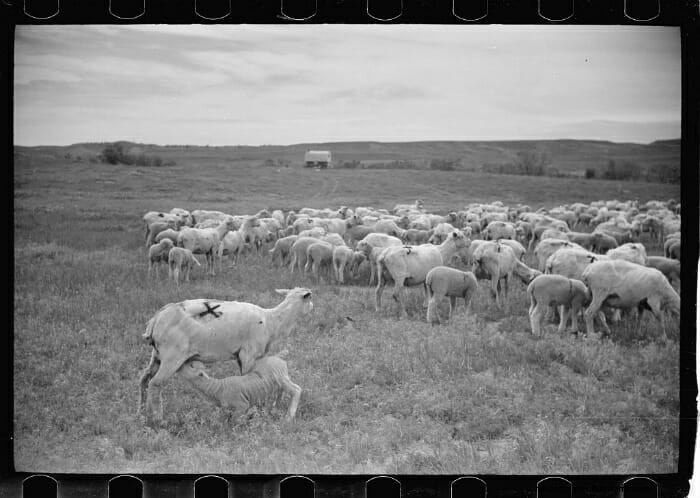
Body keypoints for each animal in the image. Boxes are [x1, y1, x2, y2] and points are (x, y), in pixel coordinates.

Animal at [139, 288, 314, 423]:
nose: (313, 305)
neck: (273, 321)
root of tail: (156, 319)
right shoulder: (249, 354)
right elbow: (249, 379)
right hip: (172, 355)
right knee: (156, 384)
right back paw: (158, 419)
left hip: (157, 354)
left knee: (144, 380)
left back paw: (142, 414)